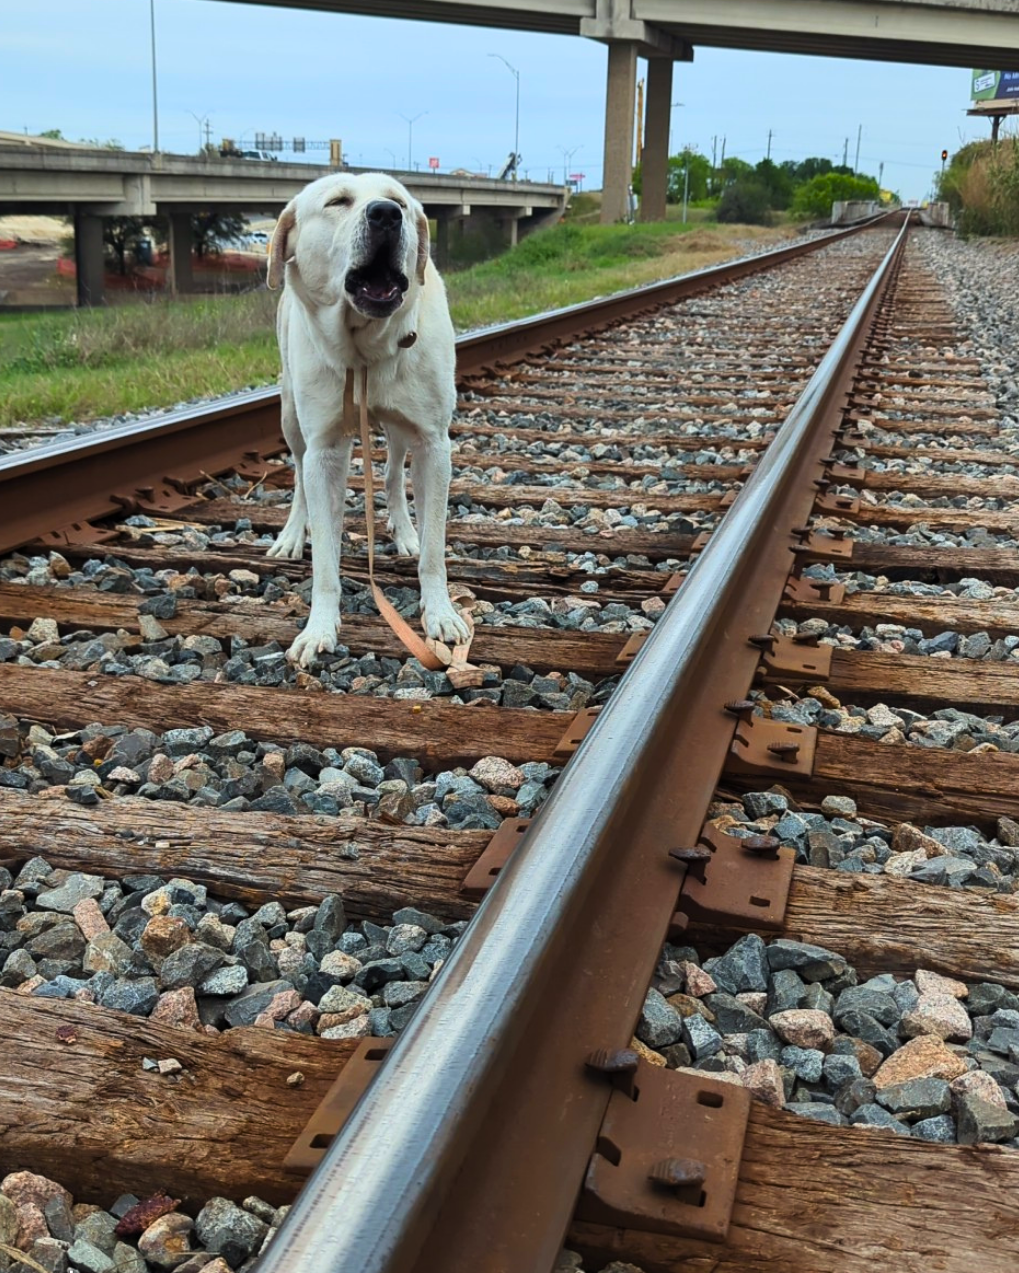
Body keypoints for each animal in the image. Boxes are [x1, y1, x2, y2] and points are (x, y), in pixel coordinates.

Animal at [262, 170, 468, 667]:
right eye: (337, 202)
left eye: (398, 201)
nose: (386, 215)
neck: (365, 347)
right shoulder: (324, 450)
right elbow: (325, 560)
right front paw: (319, 628)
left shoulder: (434, 444)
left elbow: (434, 549)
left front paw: (440, 613)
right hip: (290, 415)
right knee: (297, 476)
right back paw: (292, 535)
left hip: (400, 429)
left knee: (393, 474)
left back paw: (405, 531)